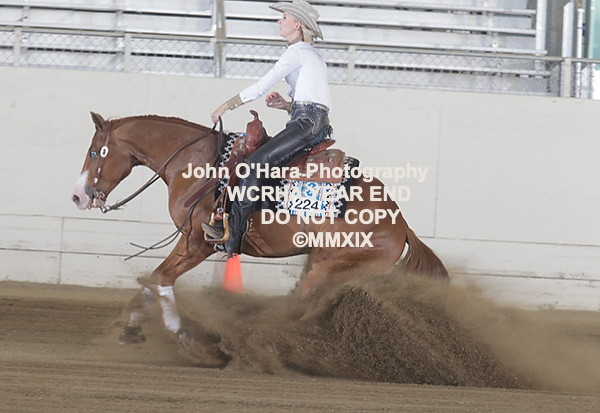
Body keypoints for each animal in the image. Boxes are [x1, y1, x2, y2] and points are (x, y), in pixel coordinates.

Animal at [71, 112, 448, 345]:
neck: (198, 163)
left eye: (94, 152)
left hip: (330, 269)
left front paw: (180, 332)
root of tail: (401, 224)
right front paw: (131, 329)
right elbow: (153, 281)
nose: (78, 196)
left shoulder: (197, 242)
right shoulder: (191, 242)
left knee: (302, 310)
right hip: (327, 265)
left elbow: (161, 278)